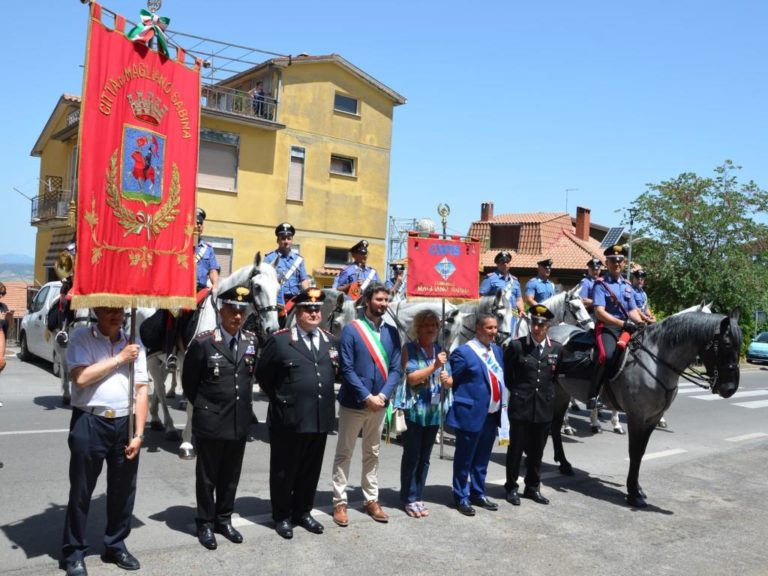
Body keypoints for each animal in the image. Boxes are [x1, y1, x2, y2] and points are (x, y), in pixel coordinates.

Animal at [549, 311, 741, 508]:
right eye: (727, 344)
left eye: (739, 345)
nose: (730, 388)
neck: (656, 363)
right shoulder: (637, 417)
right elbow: (634, 452)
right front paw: (633, 494)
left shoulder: (653, 418)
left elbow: (641, 452)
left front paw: (637, 488)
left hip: (563, 393)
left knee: (555, 427)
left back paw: (564, 464)